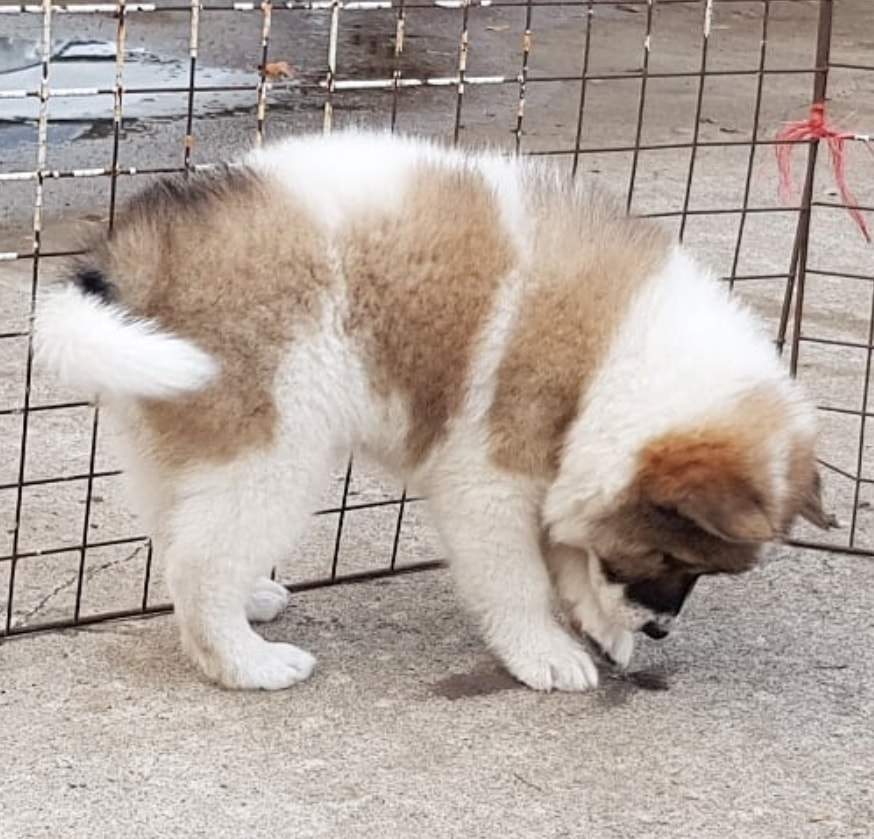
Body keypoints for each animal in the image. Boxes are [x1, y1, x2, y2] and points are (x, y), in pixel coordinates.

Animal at [34, 130, 834, 691]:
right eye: (673, 555)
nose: (664, 630)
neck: (613, 359)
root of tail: (134, 260)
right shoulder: (490, 481)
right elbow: (519, 579)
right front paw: (546, 652)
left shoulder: (564, 467)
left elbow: (573, 555)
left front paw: (604, 627)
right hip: (274, 450)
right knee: (199, 562)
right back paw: (247, 664)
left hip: (179, 433)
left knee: (178, 534)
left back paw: (249, 599)